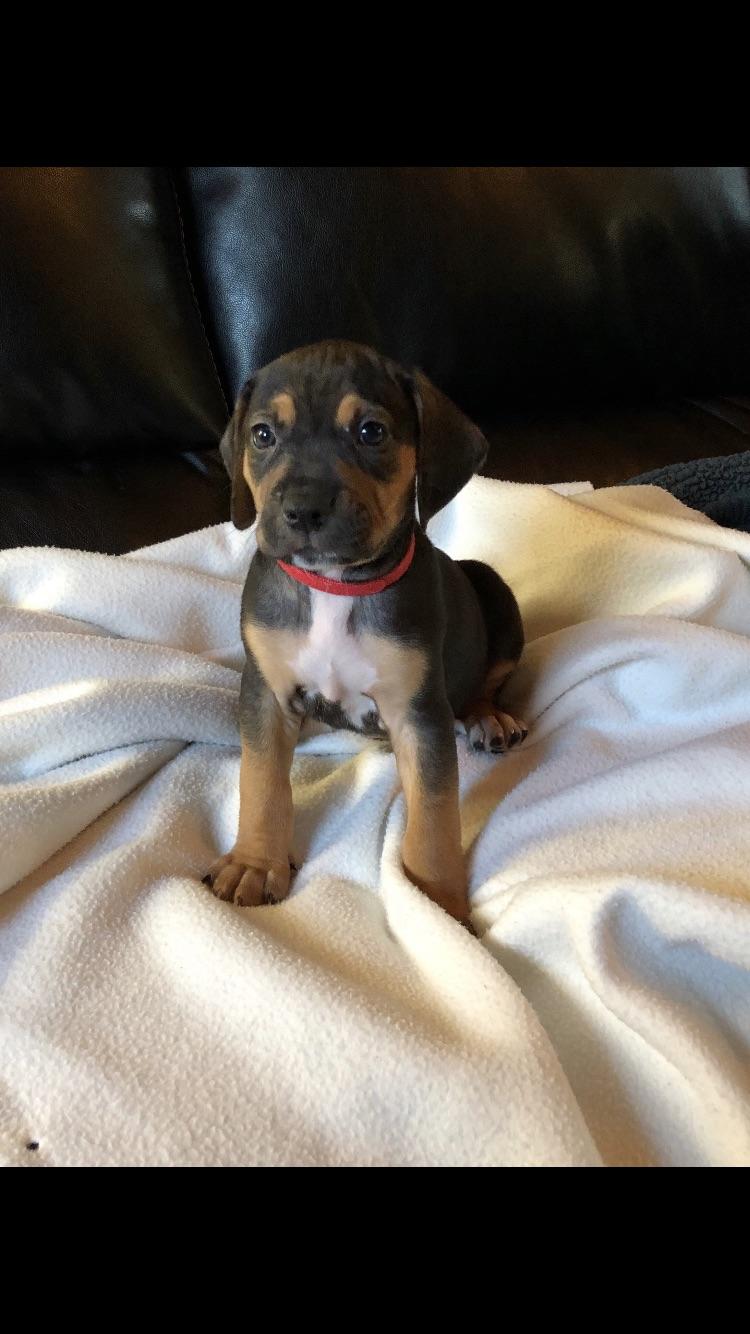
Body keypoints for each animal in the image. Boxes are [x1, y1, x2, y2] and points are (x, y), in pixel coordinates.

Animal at [201, 341, 523, 928]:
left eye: (372, 432)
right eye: (263, 435)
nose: (303, 509)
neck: (335, 583)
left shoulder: (420, 714)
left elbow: (433, 820)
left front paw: (436, 905)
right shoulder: (265, 693)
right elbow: (260, 781)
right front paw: (256, 863)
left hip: (493, 589)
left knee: (487, 683)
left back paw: (489, 716)